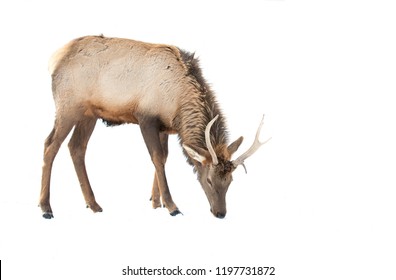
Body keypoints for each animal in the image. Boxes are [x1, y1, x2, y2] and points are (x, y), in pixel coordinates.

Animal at [39, 34, 270, 219]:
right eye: (209, 180)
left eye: (230, 181)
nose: (220, 213)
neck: (177, 104)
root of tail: (53, 59)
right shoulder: (146, 118)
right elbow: (157, 158)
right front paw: (172, 206)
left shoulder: (165, 127)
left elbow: (164, 157)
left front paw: (156, 201)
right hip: (68, 107)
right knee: (50, 145)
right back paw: (46, 207)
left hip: (89, 114)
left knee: (76, 147)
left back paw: (93, 204)